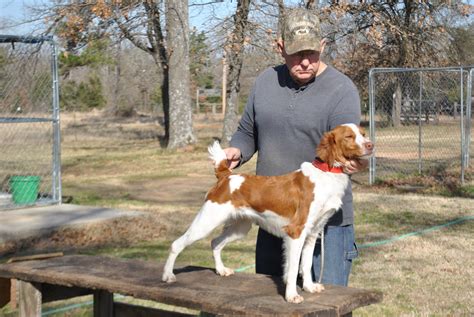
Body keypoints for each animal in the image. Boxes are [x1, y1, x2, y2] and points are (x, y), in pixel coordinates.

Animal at [162, 122, 374, 302]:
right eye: (349, 136)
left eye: (363, 134)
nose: (371, 145)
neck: (327, 175)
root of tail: (226, 176)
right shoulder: (296, 232)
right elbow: (293, 268)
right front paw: (291, 295)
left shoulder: (312, 233)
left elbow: (305, 265)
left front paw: (309, 287)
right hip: (206, 222)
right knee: (177, 244)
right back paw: (168, 275)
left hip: (240, 227)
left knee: (215, 242)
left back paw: (221, 270)